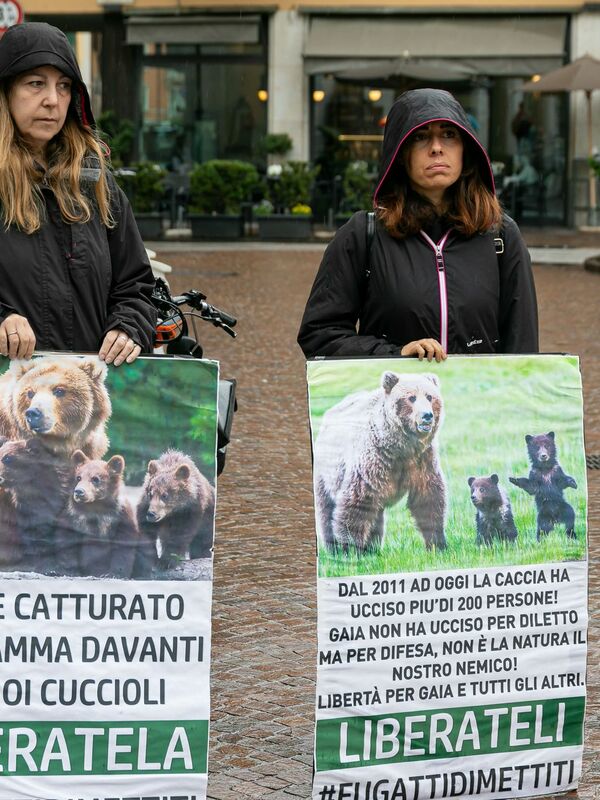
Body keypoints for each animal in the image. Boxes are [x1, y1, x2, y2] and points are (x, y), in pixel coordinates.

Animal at [314, 372, 446, 552]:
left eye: (429, 396)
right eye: (411, 397)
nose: (427, 415)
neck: (400, 448)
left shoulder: (422, 461)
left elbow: (428, 498)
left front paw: (437, 545)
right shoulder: (373, 462)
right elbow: (356, 503)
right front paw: (351, 550)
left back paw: (372, 548)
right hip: (327, 473)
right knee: (327, 509)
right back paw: (334, 548)